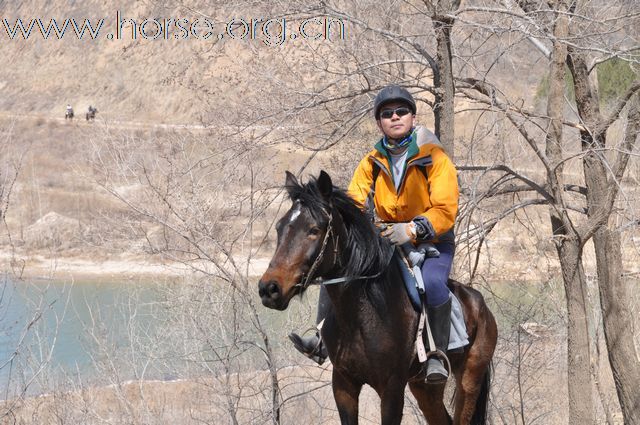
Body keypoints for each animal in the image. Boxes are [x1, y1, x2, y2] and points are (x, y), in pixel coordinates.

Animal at [258, 171, 498, 422]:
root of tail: (482, 306)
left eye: (314, 230)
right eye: (279, 228)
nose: (269, 288)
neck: (362, 314)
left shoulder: (392, 389)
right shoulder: (343, 385)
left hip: (469, 381)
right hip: (424, 387)